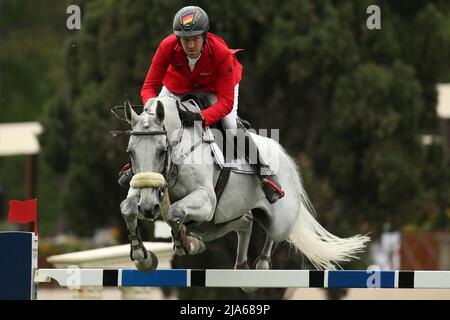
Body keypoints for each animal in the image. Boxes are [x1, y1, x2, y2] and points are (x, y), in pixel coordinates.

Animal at [117, 95, 370, 276]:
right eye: (130, 152)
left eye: (161, 151)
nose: (148, 208)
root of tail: (287, 159)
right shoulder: (141, 189)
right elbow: (127, 207)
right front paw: (142, 256)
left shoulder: (206, 201)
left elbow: (174, 211)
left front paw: (185, 244)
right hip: (213, 224)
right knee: (245, 221)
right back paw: (239, 263)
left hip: (275, 221)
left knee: (273, 233)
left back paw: (261, 265)